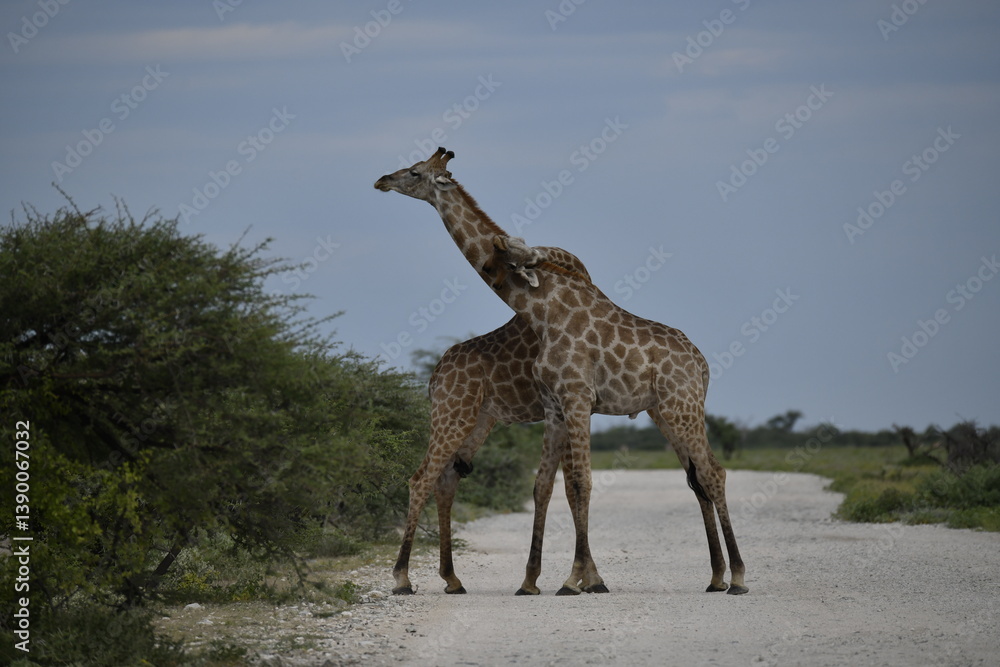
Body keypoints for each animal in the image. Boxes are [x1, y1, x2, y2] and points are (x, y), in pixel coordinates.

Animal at [374, 147, 747, 595]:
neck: (542, 309)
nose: (381, 180)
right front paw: (547, 579)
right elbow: (550, 486)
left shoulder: (575, 397)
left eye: (414, 172)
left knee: (712, 472)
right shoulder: (556, 405)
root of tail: (702, 363)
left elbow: (578, 482)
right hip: (644, 411)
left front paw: (577, 579)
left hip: (677, 405)